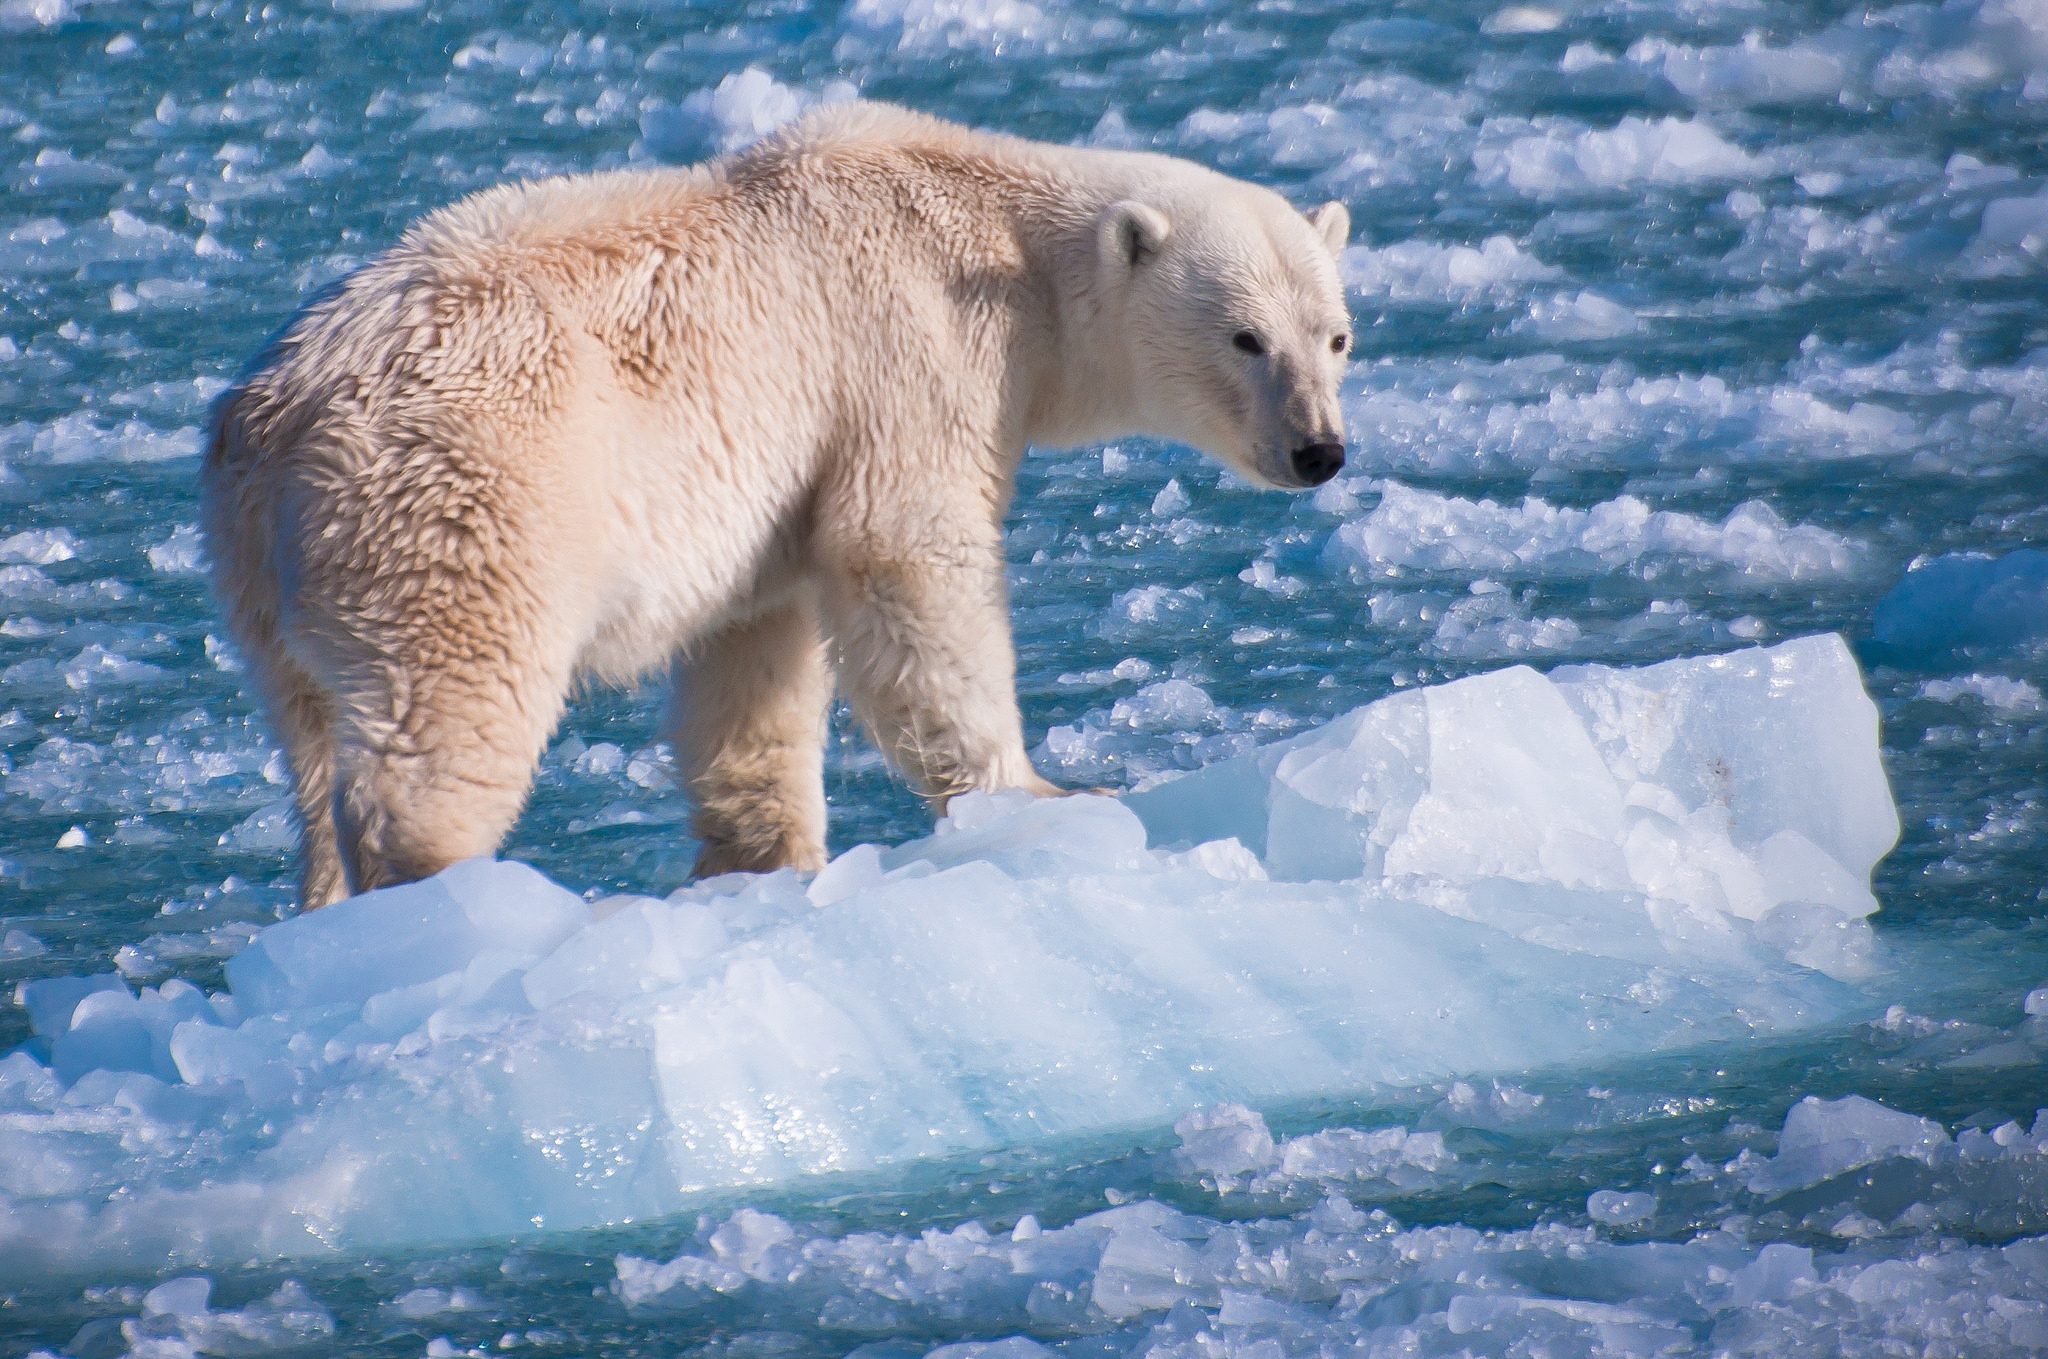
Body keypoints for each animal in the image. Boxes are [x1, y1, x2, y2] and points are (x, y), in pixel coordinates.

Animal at [203, 106, 1359, 908]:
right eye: (1245, 338)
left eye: (1337, 334)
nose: (1320, 450)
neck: (994, 234)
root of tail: (277, 417)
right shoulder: (904, 355)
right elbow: (909, 562)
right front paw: (1047, 795)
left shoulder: (771, 497)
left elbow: (755, 662)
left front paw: (766, 859)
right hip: (467, 499)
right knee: (445, 706)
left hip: (264, 572)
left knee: (311, 739)